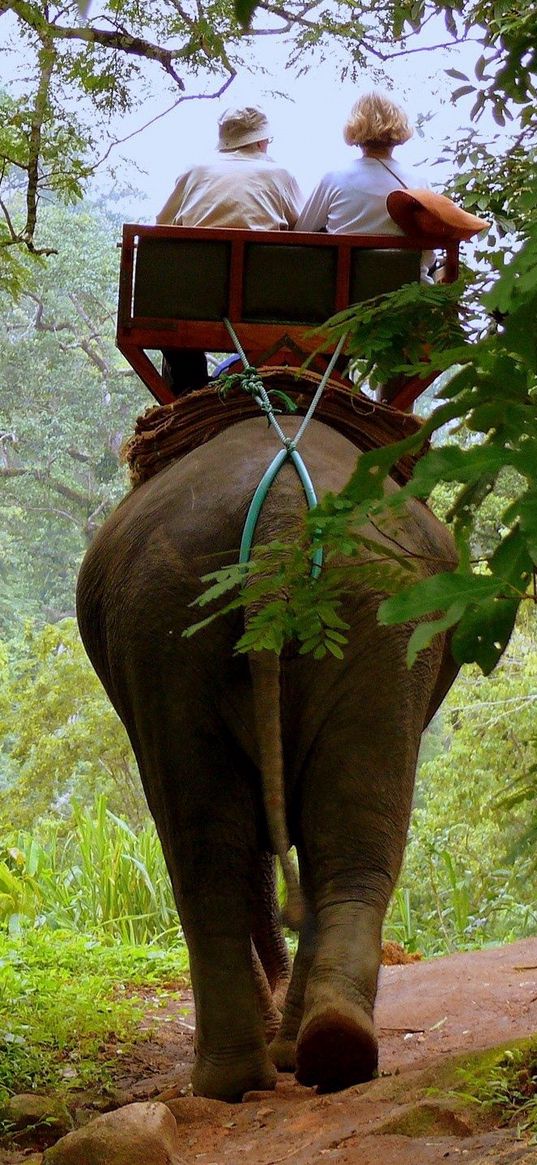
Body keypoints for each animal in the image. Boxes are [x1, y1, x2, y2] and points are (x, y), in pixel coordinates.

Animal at [76, 407, 456, 1099]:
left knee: (223, 847)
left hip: (185, 616)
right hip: (349, 611)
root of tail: (282, 513)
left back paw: (271, 1065)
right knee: (317, 840)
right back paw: (308, 1056)